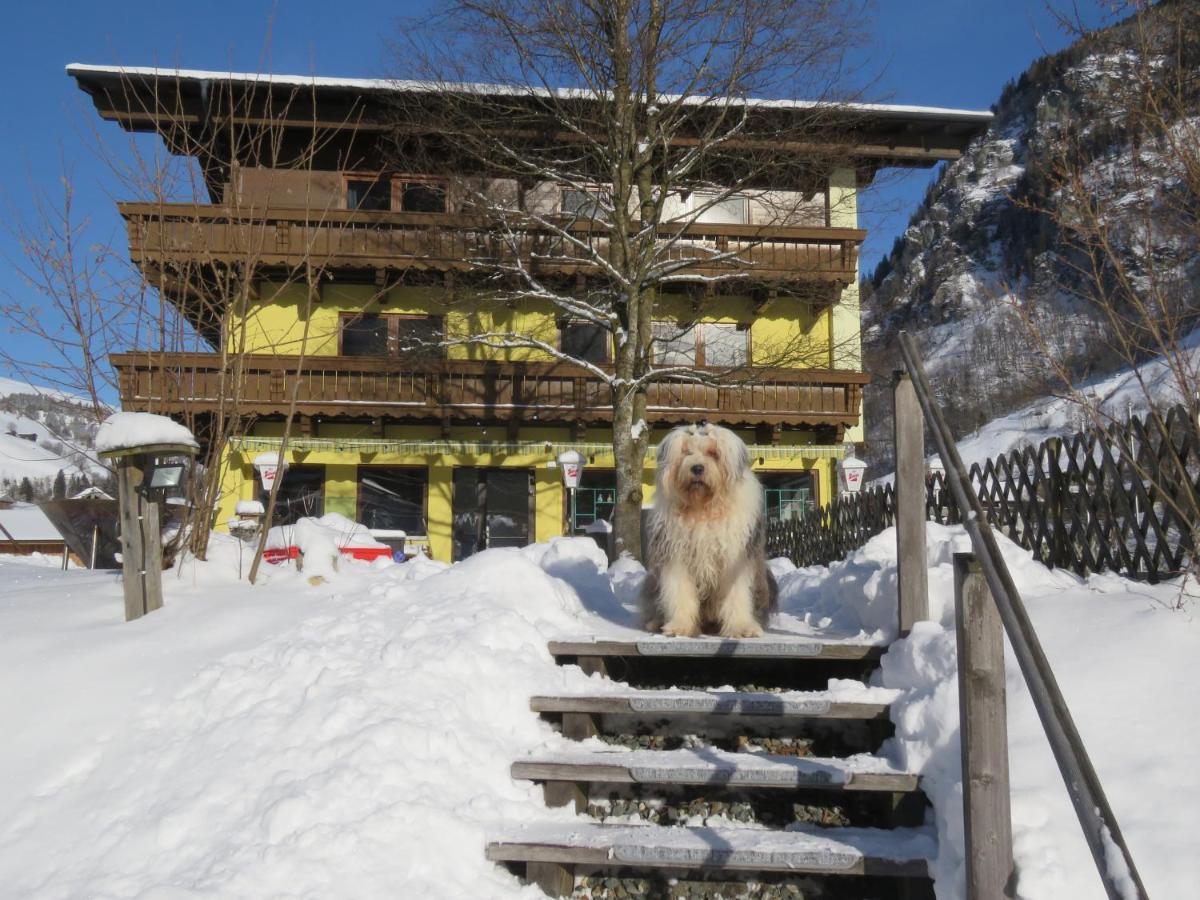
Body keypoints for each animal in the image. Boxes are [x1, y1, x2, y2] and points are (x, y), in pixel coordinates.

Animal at [638, 424, 777, 643]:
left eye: (714, 453)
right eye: (686, 452)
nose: (697, 468)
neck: (703, 508)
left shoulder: (735, 559)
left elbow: (736, 594)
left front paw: (741, 628)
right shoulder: (677, 556)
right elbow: (680, 592)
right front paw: (680, 627)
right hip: (653, 582)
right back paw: (656, 622)